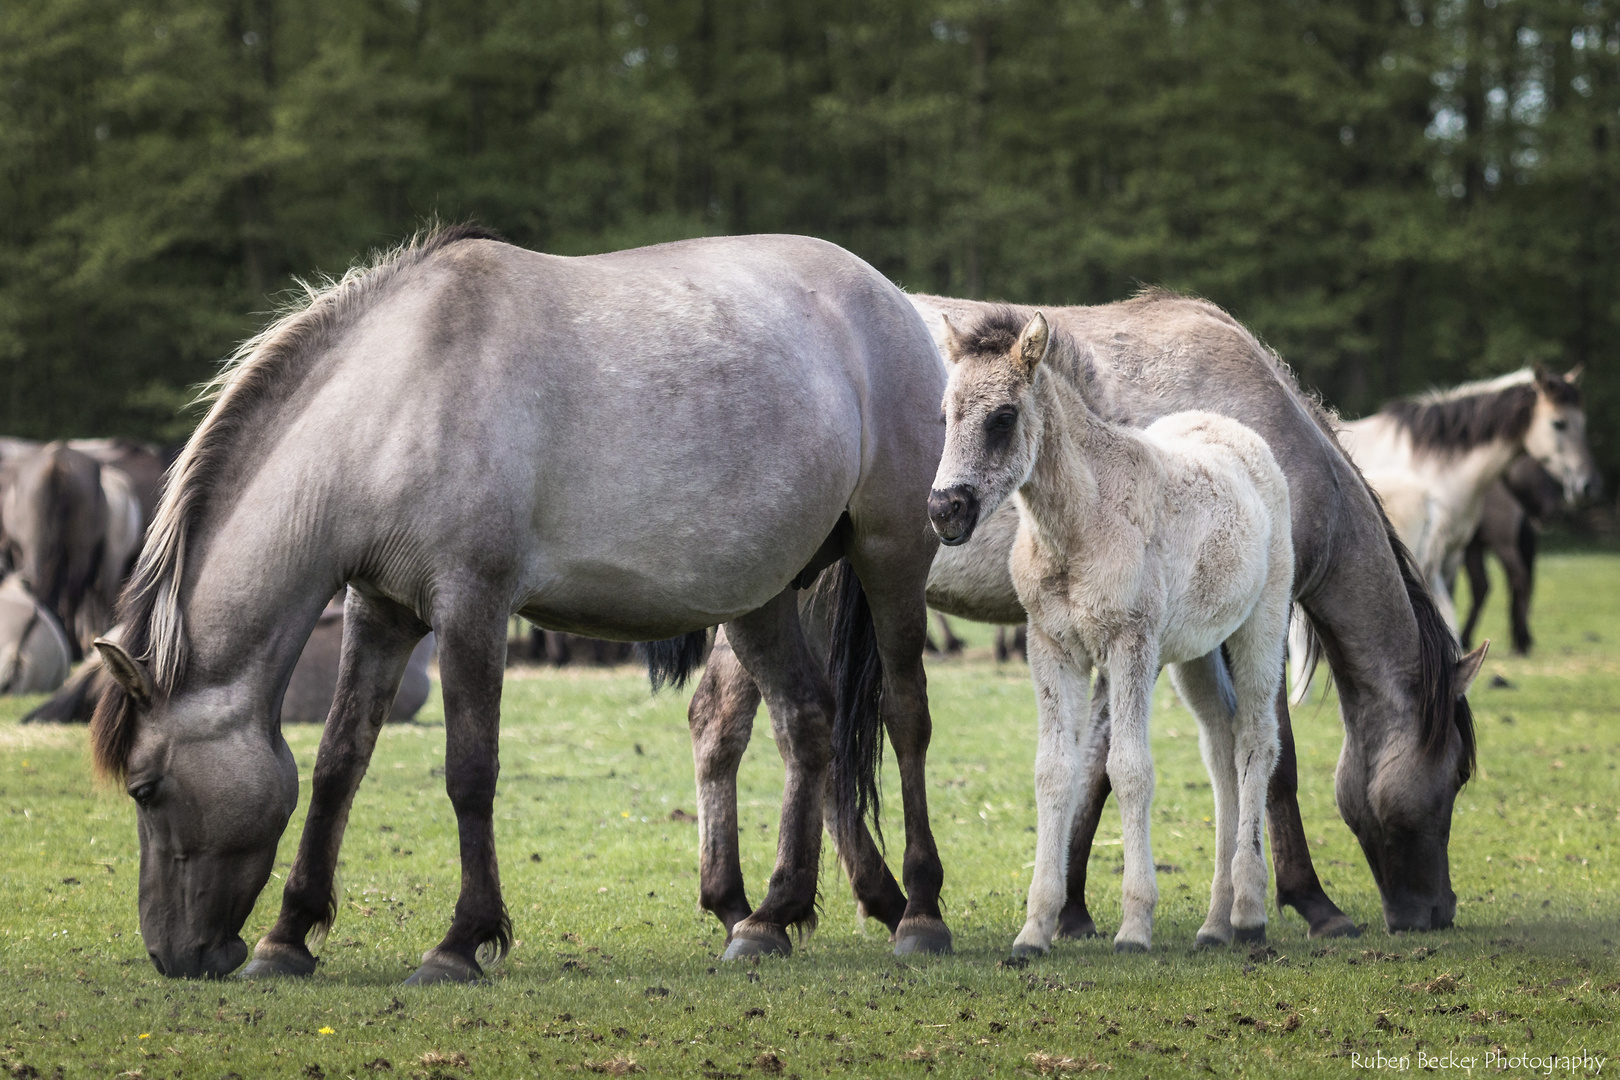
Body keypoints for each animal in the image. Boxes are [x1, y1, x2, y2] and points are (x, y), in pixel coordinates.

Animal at [85, 223, 946, 984]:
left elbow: (470, 772)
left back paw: (919, 914)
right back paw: (769, 919)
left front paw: (460, 942)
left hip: (892, 557)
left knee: (905, 716)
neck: (397, 398)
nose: (174, 956)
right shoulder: (381, 610)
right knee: (805, 724)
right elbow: (337, 764)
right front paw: (288, 936)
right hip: (763, 596)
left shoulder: (472, 603)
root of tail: (895, 302)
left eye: (145, 788)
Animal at [926, 312, 1289, 952]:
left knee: (1255, 740)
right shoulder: (1051, 647)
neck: (1079, 525)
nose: (945, 510)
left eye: (1003, 418)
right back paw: (1214, 922)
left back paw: (1247, 910)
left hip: (1260, 628)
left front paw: (1135, 926)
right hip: (1194, 652)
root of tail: (1236, 432)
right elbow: (1053, 772)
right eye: (946, 415)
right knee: (1220, 746)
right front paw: (1034, 929)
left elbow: (1129, 770)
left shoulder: (1130, 647)